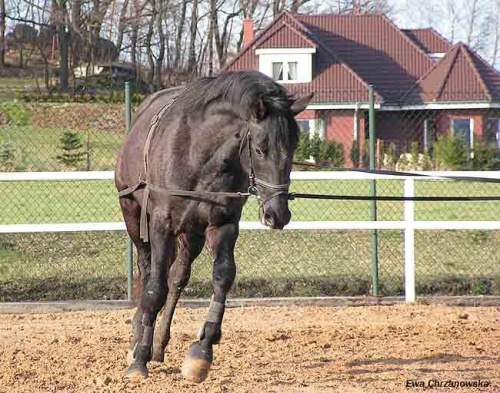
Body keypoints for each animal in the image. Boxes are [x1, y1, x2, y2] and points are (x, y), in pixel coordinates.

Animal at [115, 70, 314, 380]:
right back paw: (139, 340)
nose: (277, 214)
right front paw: (138, 359)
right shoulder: (161, 224)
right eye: (260, 150)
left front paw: (201, 352)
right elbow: (154, 288)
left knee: (177, 278)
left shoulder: (222, 225)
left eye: (293, 148)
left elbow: (222, 277)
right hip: (135, 217)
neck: (197, 153)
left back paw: (159, 344)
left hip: (192, 233)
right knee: (148, 273)